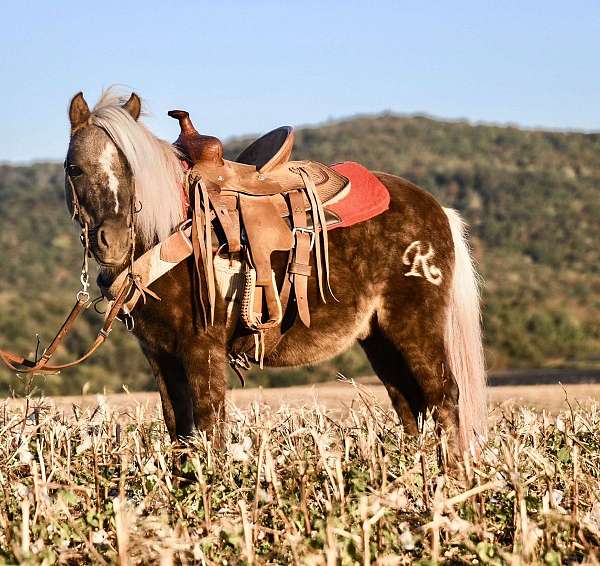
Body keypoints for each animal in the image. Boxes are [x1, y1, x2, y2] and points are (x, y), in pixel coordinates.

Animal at [65, 90, 488, 462]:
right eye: (74, 167)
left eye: (132, 168)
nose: (113, 242)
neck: (166, 230)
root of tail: (437, 209)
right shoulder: (160, 354)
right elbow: (180, 433)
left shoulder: (201, 348)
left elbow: (209, 430)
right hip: (379, 338)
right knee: (410, 405)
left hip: (415, 327)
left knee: (443, 397)